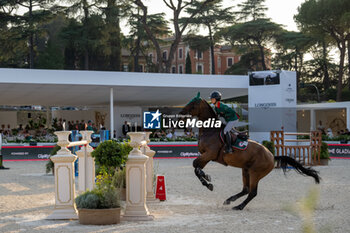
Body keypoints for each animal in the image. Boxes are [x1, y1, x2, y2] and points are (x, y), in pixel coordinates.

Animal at [179, 95, 322, 210]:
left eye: (193, 103)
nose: (181, 113)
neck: (210, 130)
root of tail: (272, 156)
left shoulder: (210, 154)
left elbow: (195, 166)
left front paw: (208, 181)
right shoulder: (206, 156)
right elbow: (197, 168)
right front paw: (208, 182)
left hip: (255, 173)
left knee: (252, 192)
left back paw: (239, 206)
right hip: (246, 170)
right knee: (246, 189)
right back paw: (229, 200)